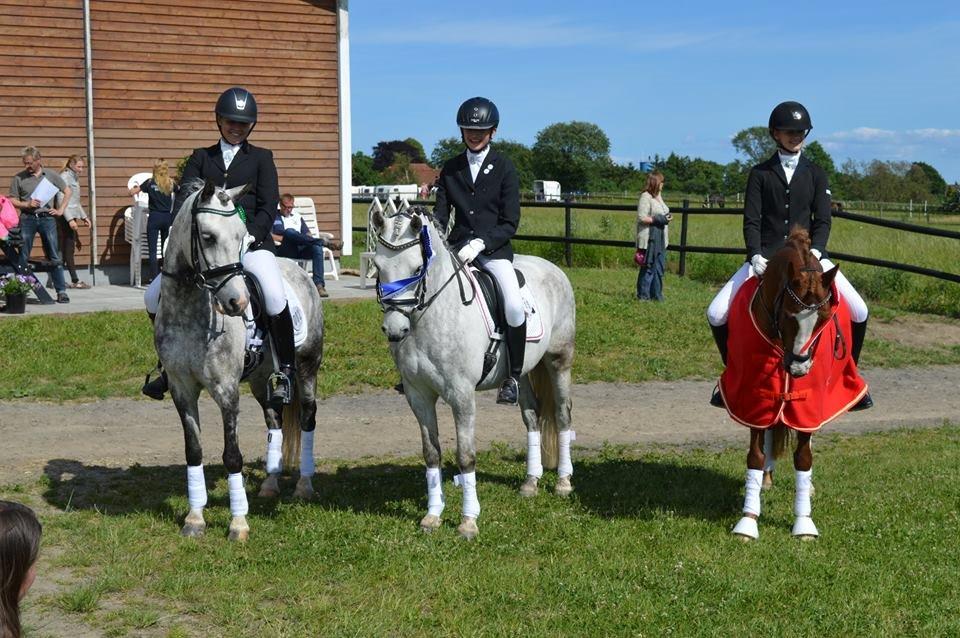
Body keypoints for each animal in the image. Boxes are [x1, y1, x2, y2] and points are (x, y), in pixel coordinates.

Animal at [154, 179, 325, 541]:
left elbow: (232, 455)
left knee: (307, 419)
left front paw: (238, 523)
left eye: (242, 237)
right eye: (207, 237)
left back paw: (304, 485)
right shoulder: (181, 389)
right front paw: (194, 518)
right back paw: (271, 484)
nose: (237, 302)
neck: (190, 311)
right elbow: (193, 451)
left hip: (307, 368)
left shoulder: (226, 390)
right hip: (262, 380)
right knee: (274, 421)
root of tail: (297, 269)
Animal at [372, 206, 576, 539]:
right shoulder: (418, 396)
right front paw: (432, 516)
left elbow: (466, 456)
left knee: (561, 414)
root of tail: (552, 269)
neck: (430, 315)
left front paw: (468, 521)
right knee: (532, 416)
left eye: (417, 267)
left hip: (559, 361)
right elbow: (431, 453)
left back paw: (562, 481)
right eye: (377, 266)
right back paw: (530, 482)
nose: (394, 329)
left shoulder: (461, 396)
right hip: (521, 372)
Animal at [719, 226, 866, 541]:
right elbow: (755, 455)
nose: (799, 367)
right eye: (787, 314)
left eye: (823, 318)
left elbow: (804, 457)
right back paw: (766, 478)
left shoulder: (808, 405)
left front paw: (804, 522)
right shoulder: (755, 398)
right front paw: (747, 521)